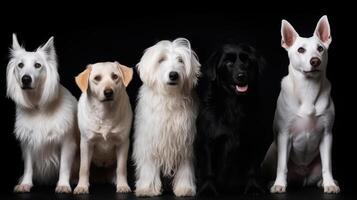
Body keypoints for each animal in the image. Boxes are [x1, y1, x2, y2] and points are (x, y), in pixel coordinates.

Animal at [5, 34, 78, 192]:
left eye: (37, 65)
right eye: (20, 65)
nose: (26, 79)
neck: (38, 106)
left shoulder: (67, 142)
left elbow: (64, 166)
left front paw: (63, 184)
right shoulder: (28, 141)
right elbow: (28, 167)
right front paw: (26, 183)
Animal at [73, 61, 133, 194]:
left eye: (115, 76)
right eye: (97, 78)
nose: (108, 92)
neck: (106, 113)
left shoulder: (123, 143)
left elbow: (121, 168)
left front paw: (122, 185)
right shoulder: (86, 143)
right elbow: (84, 168)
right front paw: (82, 186)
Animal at [133, 38, 200, 197]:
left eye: (181, 60)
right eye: (161, 60)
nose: (173, 75)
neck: (170, 97)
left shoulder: (185, 142)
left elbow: (185, 166)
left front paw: (184, 188)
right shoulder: (150, 141)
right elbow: (149, 165)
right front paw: (148, 188)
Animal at [195, 43, 268, 195]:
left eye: (247, 61)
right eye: (228, 63)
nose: (241, 76)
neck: (234, 105)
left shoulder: (254, 140)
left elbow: (252, 168)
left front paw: (253, 187)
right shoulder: (208, 141)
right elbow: (208, 169)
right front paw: (208, 189)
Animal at [258, 14, 340, 193]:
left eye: (320, 48)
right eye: (301, 50)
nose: (315, 61)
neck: (308, 88)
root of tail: (302, 179)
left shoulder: (327, 136)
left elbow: (328, 165)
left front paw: (329, 184)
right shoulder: (284, 135)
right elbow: (282, 165)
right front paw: (279, 184)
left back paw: (323, 182)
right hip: (271, 152)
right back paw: (272, 182)